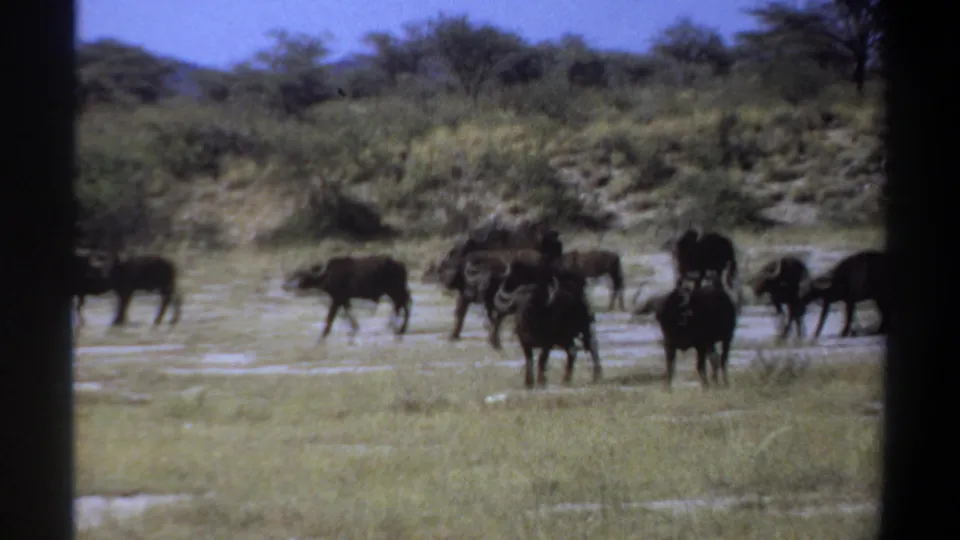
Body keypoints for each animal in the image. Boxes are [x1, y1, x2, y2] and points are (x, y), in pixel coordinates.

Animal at [282, 255, 413, 343]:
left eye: (301, 277)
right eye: (294, 275)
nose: (288, 286)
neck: (327, 275)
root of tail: (400, 265)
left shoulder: (337, 299)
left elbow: (330, 317)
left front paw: (324, 334)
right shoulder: (344, 299)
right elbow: (348, 313)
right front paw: (354, 328)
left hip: (395, 290)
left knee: (402, 305)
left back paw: (397, 328)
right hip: (395, 292)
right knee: (402, 305)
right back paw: (396, 328)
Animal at [493, 259, 601, 389]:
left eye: (534, 299)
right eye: (518, 301)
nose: (525, 309)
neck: (530, 327)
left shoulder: (547, 344)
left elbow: (541, 360)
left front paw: (541, 381)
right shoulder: (525, 343)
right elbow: (529, 360)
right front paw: (528, 382)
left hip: (585, 328)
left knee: (592, 347)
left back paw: (596, 377)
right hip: (564, 338)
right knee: (573, 351)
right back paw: (566, 379)